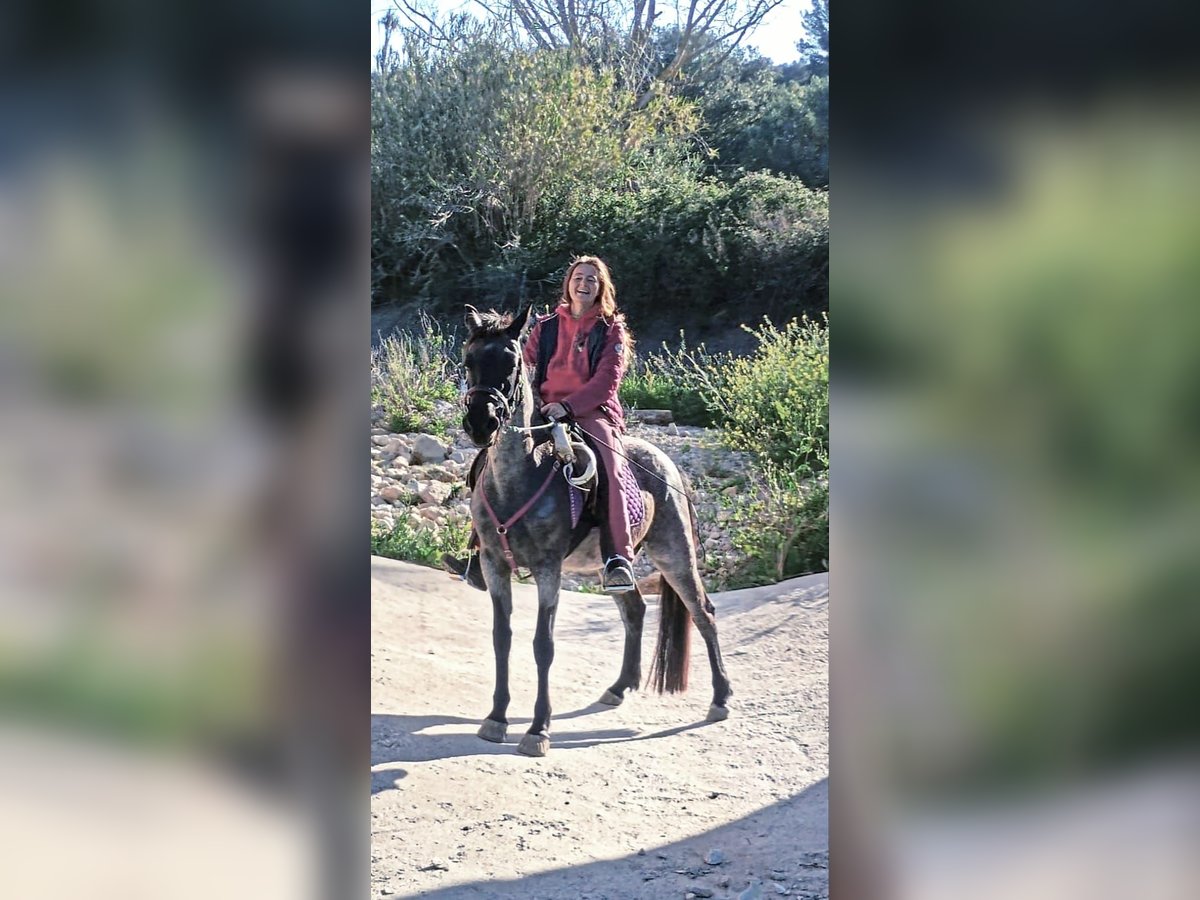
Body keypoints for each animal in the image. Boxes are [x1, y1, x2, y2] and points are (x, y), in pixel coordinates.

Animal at [459, 304, 732, 757]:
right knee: (635, 609)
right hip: (614, 562)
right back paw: (619, 688)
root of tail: (667, 462)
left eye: (512, 362)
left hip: (675, 555)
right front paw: (496, 718)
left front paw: (538, 729)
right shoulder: (494, 564)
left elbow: (543, 644)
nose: (481, 423)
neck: (522, 476)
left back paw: (721, 698)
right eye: (469, 361)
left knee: (703, 613)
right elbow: (502, 637)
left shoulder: (548, 569)